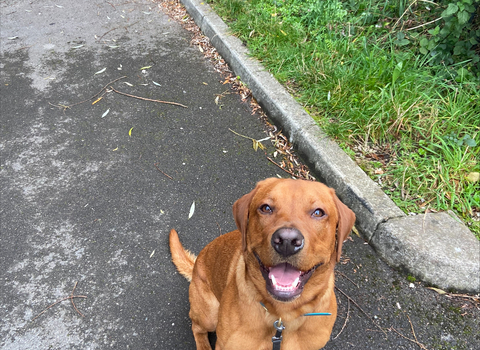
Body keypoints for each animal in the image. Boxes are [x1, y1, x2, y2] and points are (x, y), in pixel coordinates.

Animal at [168, 179, 352, 348]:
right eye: (266, 208)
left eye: (318, 212)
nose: (287, 241)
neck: (283, 316)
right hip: (210, 314)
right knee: (196, 327)